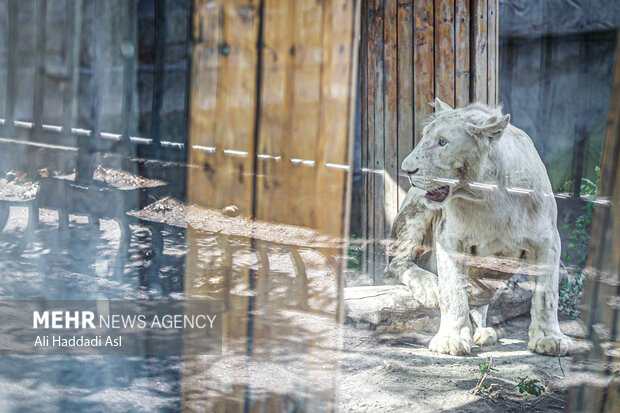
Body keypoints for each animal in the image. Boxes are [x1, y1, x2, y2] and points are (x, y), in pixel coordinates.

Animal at [388, 98, 572, 356]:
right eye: (424, 137)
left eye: (442, 142)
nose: (406, 169)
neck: (488, 197)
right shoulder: (449, 239)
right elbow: (453, 290)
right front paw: (451, 338)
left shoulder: (547, 242)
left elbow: (547, 294)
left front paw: (549, 338)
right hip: (414, 211)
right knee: (398, 263)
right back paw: (429, 286)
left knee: (482, 295)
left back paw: (483, 330)